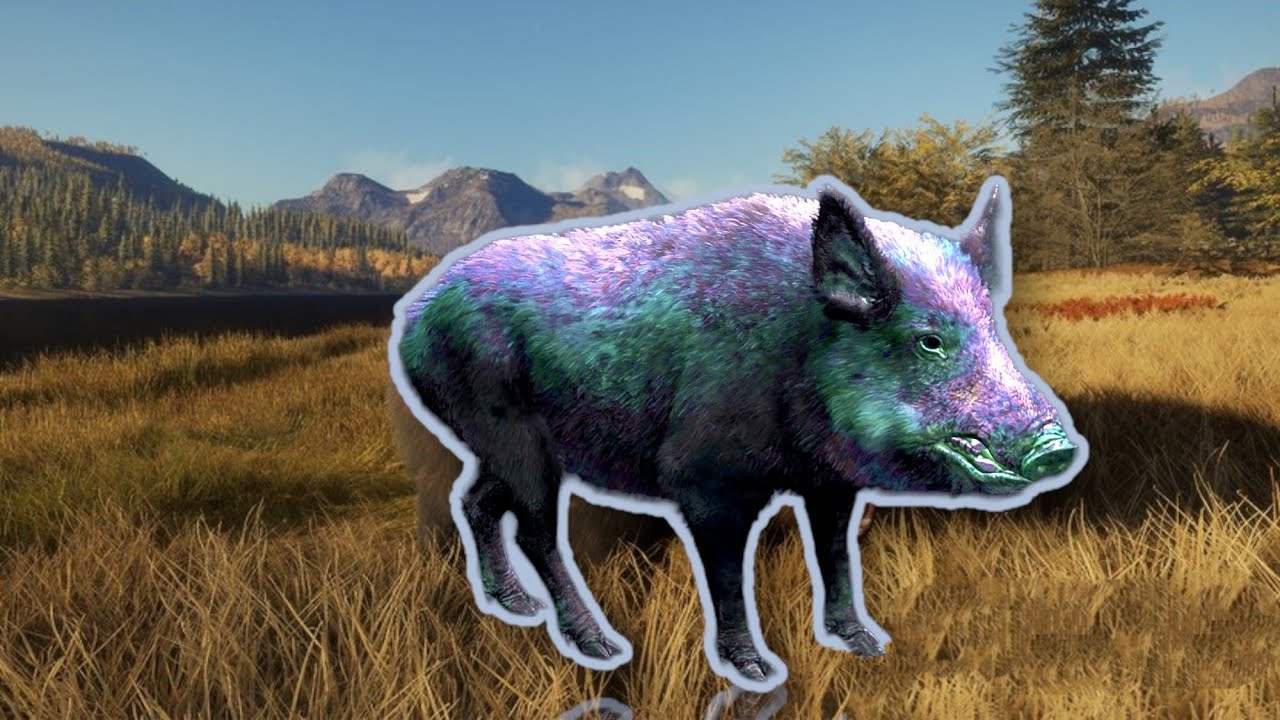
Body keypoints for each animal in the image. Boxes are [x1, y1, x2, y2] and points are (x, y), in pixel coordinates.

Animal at [388, 176, 1082, 691]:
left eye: (994, 327)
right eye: (928, 341)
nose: (1060, 447)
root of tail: (413, 315)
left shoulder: (829, 484)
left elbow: (834, 555)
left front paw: (865, 646)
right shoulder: (702, 483)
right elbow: (726, 576)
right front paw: (756, 672)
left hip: (496, 447)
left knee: (475, 500)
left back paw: (516, 609)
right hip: (512, 434)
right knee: (535, 530)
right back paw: (602, 647)